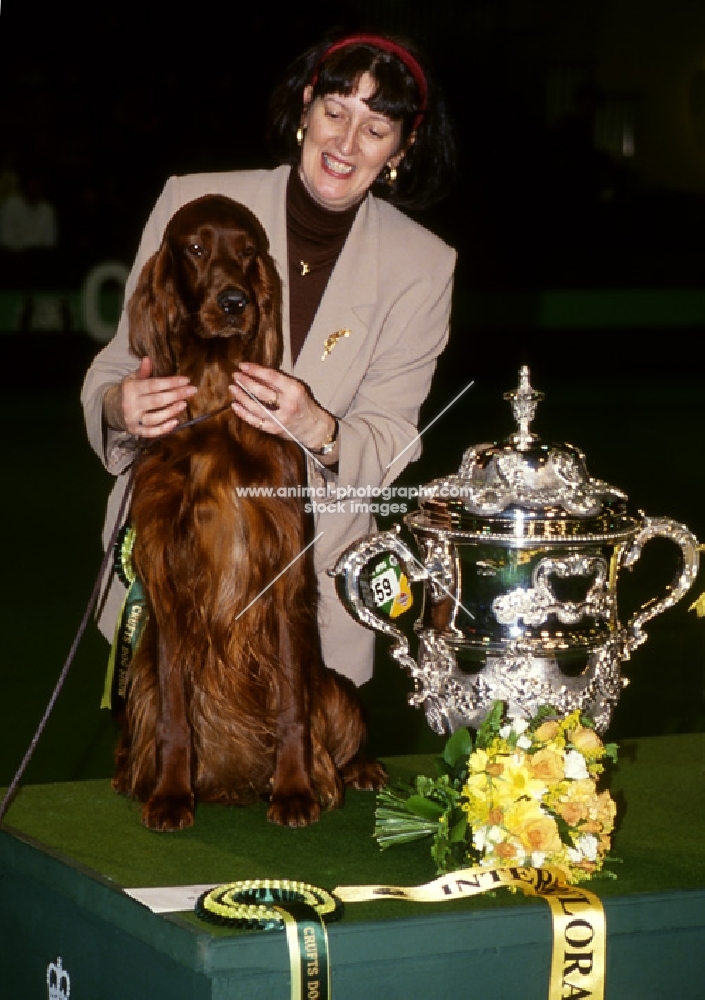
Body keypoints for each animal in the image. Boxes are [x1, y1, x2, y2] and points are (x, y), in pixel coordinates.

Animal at [113, 193, 384, 828]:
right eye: (194, 247)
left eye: (248, 252)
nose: (234, 301)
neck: (214, 401)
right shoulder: (166, 573)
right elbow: (175, 711)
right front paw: (171, 793)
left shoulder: (282, 569)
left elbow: (290, 704)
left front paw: (294, 789)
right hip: (139, 674)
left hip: (336, 689)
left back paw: (357, 770)